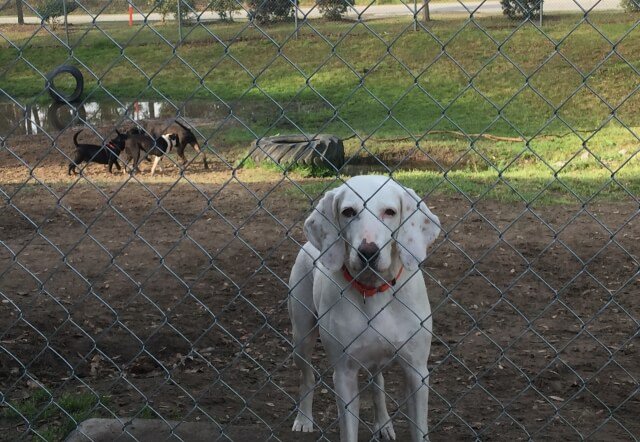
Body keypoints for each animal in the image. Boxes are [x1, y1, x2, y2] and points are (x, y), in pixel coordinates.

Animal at [288, 176, 440, 442]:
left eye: (390, 212)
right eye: (348, 211)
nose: (368, 252)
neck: (374, 290)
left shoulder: (417, 372)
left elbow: (418, 428)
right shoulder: (344, 374)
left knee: (377, 382)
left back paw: (383, 424)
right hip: (301, 337)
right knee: (307, 375)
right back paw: (304, 418)